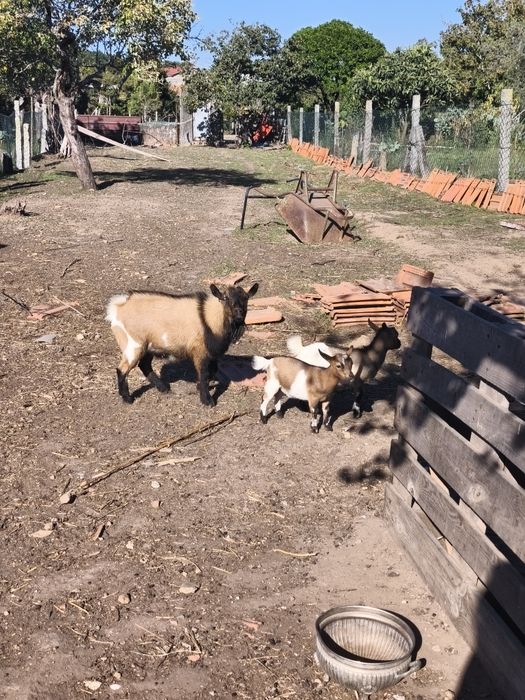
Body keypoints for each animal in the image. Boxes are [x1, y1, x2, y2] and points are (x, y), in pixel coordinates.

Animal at [106, 283, 258, 406]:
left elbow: (212, 371)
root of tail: (118, 307)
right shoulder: (200, 351)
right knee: (122, 369)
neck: (210, 318)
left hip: (150, 346)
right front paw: (207, 400)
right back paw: (128, 398)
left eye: (246, 298)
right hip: (133, 345)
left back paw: (163, 388)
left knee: (144, 365)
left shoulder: (212, 354)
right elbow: (203, 374)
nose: (238, 313)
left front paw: (200, 388)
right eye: (225, 298)